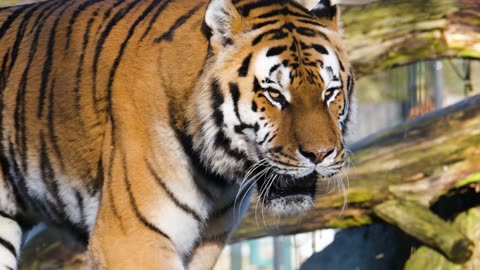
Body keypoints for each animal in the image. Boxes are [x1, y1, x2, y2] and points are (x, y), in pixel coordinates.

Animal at [0, 0, 352, 268]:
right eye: (275, 94)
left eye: (330, 92)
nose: (320, 154)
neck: (218, 172)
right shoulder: (129, 238)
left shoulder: (205, 241)